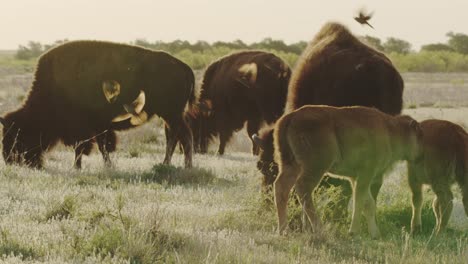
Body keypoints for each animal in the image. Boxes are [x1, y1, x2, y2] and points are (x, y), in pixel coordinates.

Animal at [0, 41, 195, 169]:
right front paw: (96, 166)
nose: (9, 159)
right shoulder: (96, 127)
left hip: (172, 114)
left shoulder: (87, 128)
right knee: (177, 137)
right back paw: (175, 165)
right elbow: (97, 147)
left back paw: (177, 165)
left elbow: (90, 147)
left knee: (180, 137)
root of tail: (184, 67)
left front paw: (81, 167)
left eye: (18, 132)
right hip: (170, 115)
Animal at [258, 105, 422, 239]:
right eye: (417, 135)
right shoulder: (365, 175)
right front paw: (353, 232)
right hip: (315, 167)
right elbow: (359, 201)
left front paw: (375, 234)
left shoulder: (355, 178)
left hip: (290, 165)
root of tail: (289, 118)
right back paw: (318, 228)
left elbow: (369, 204)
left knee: (281, 187)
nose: (419, 156)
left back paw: (283, 230)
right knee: (303, 189)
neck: (390, 131)